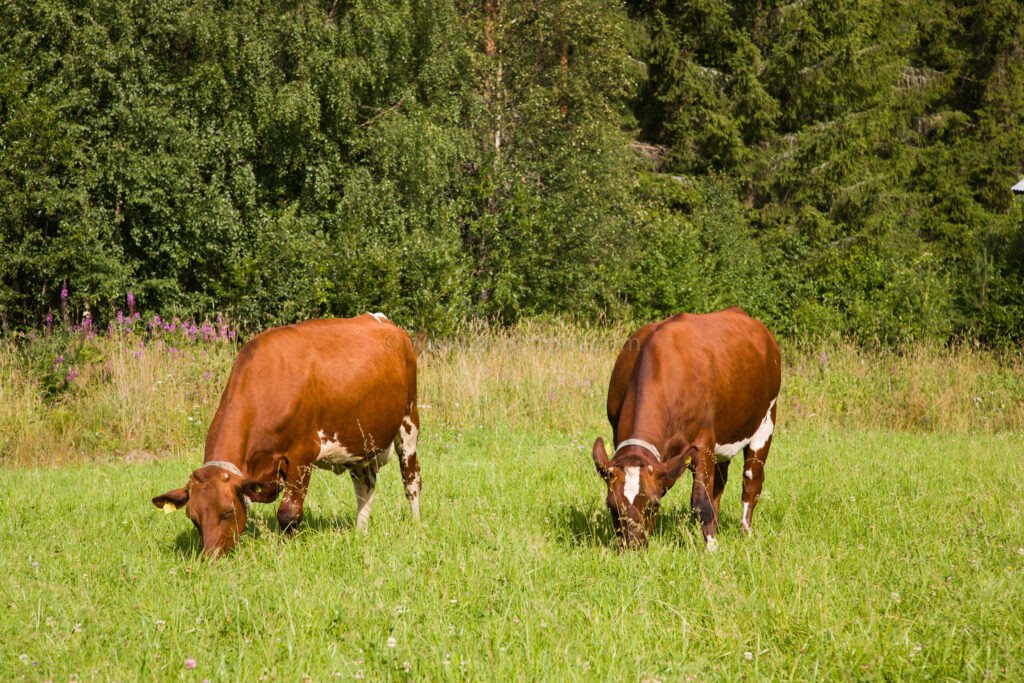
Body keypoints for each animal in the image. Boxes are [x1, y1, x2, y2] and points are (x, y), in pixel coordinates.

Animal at [152, 313, 423, 557]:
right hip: (359, 443)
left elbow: (289, 512)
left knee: (411, 480)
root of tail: (383, 321)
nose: (211, 558)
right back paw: (360, 532)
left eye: (228, 512)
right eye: (193, 518)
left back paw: (416, 523)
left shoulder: (303, 454)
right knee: (365, 487)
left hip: (409, 422)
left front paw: (286, 550)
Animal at [589, 307, 778, 552]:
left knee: (751, 481)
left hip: (766, 421)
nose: (632, 549)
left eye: (653, 505)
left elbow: (700, 501)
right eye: (611, 506)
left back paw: (744, 532)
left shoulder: (703, 442)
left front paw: (711, 547)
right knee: (719, 482)